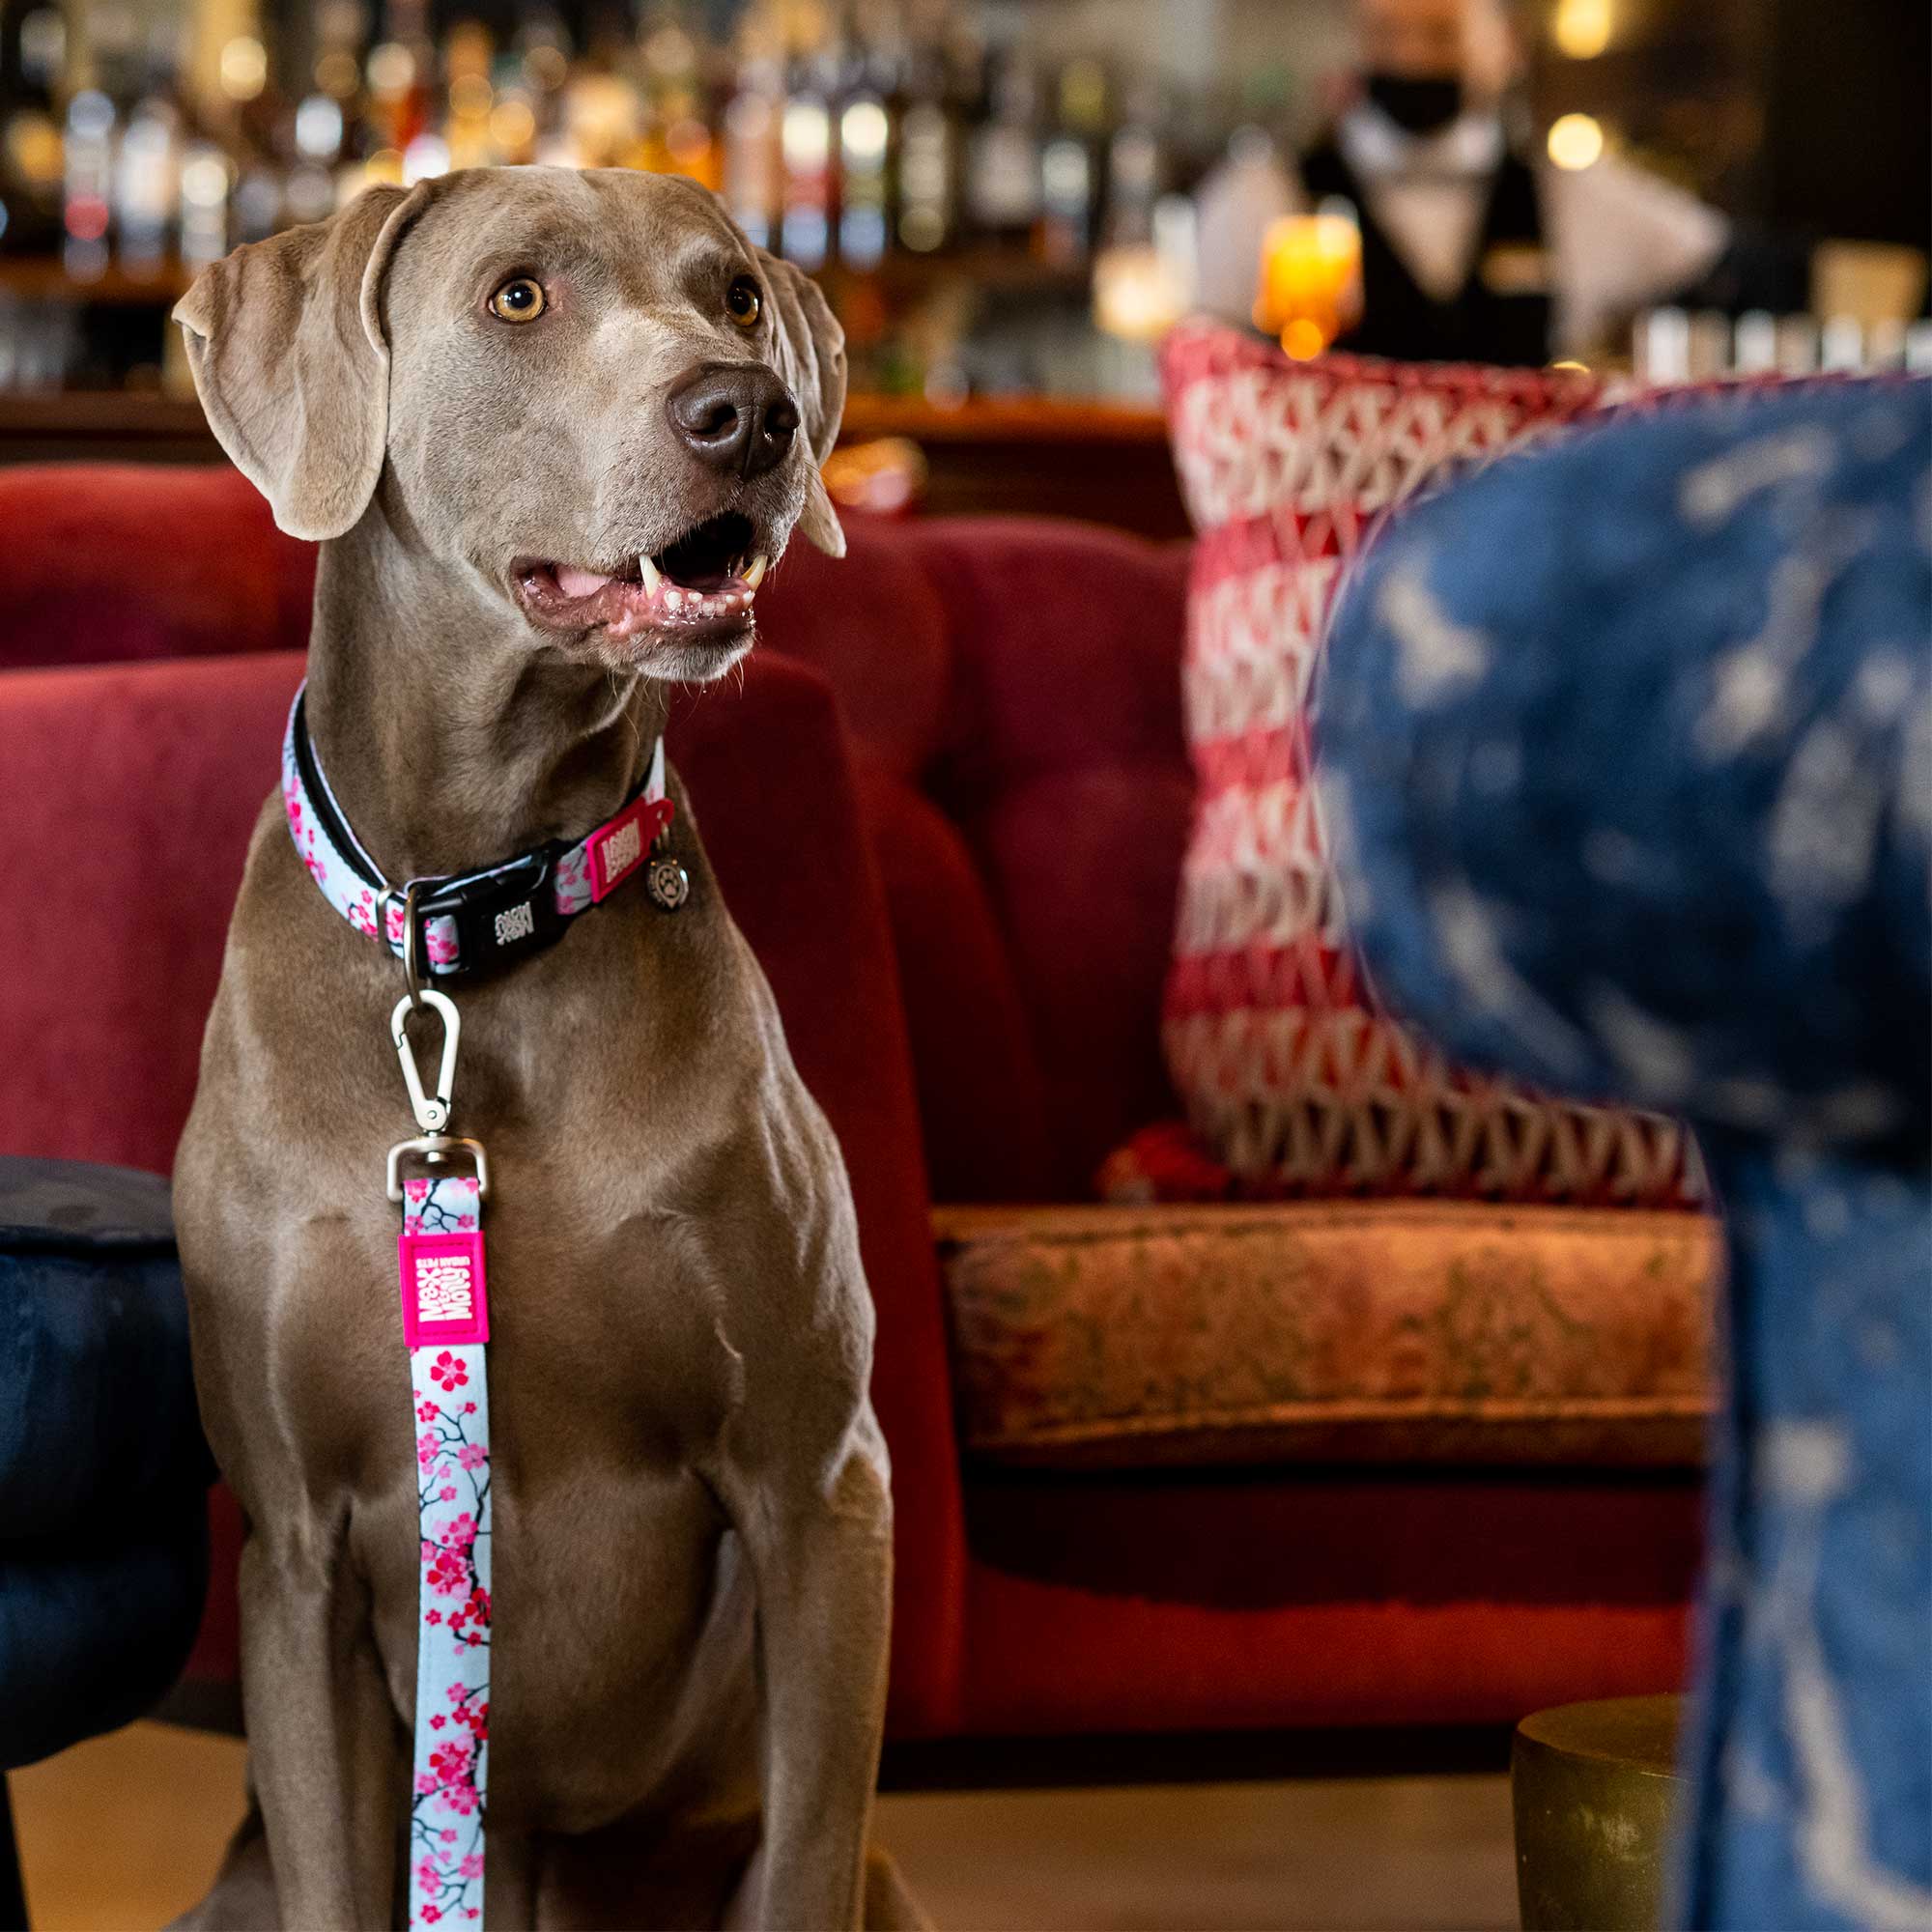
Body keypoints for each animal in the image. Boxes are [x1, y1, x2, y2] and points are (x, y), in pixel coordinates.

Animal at [168, 170, 920, 1932]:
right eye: (519, 297)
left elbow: (804, 1847)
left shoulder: (821, 1486)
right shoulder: (292, 1549)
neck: (471, 924)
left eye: (735, 293)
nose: (754, 410)